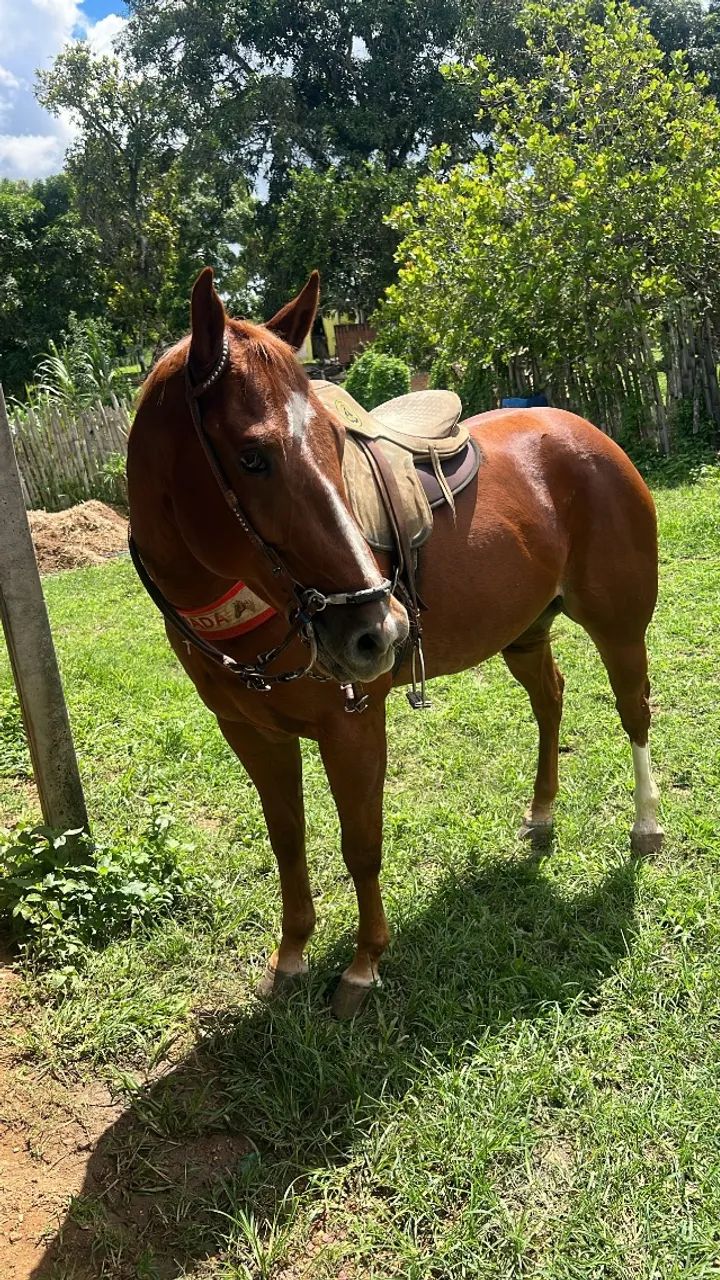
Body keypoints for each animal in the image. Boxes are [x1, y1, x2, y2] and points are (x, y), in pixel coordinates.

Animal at [127, 268, 663, 1018]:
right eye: (252, 457)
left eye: (334, 441)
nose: (380, 630)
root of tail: (586, 432)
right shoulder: (251, 733)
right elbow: (287, 842)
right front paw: (290, 958)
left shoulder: (352, 725)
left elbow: (361, 844)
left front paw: (363, 966)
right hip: (524, 630)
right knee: (550, 701)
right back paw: (541, 816)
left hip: (618, 624)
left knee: (634, 710)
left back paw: (646, 827)